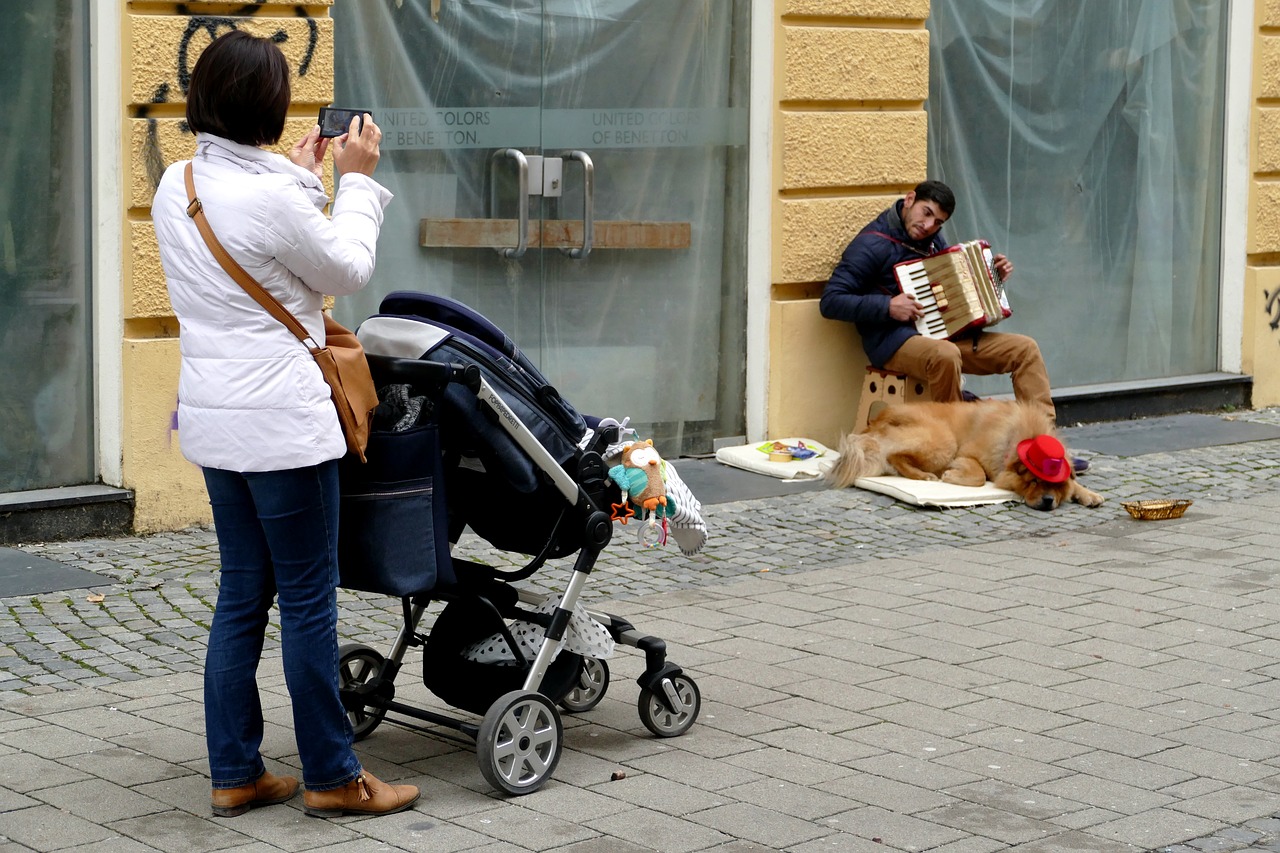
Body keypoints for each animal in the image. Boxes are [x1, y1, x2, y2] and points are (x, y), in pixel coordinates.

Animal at [824, 394, 1105, 507]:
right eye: (1033, 481)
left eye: (1054, 485)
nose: (1048, 501)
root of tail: (876, 421)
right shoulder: (967, 456)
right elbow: (979, 477)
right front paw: (953, 477)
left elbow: (1075, 483)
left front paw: (1088, 494)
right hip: (944, 439)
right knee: (895, 456)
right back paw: (926, 476)